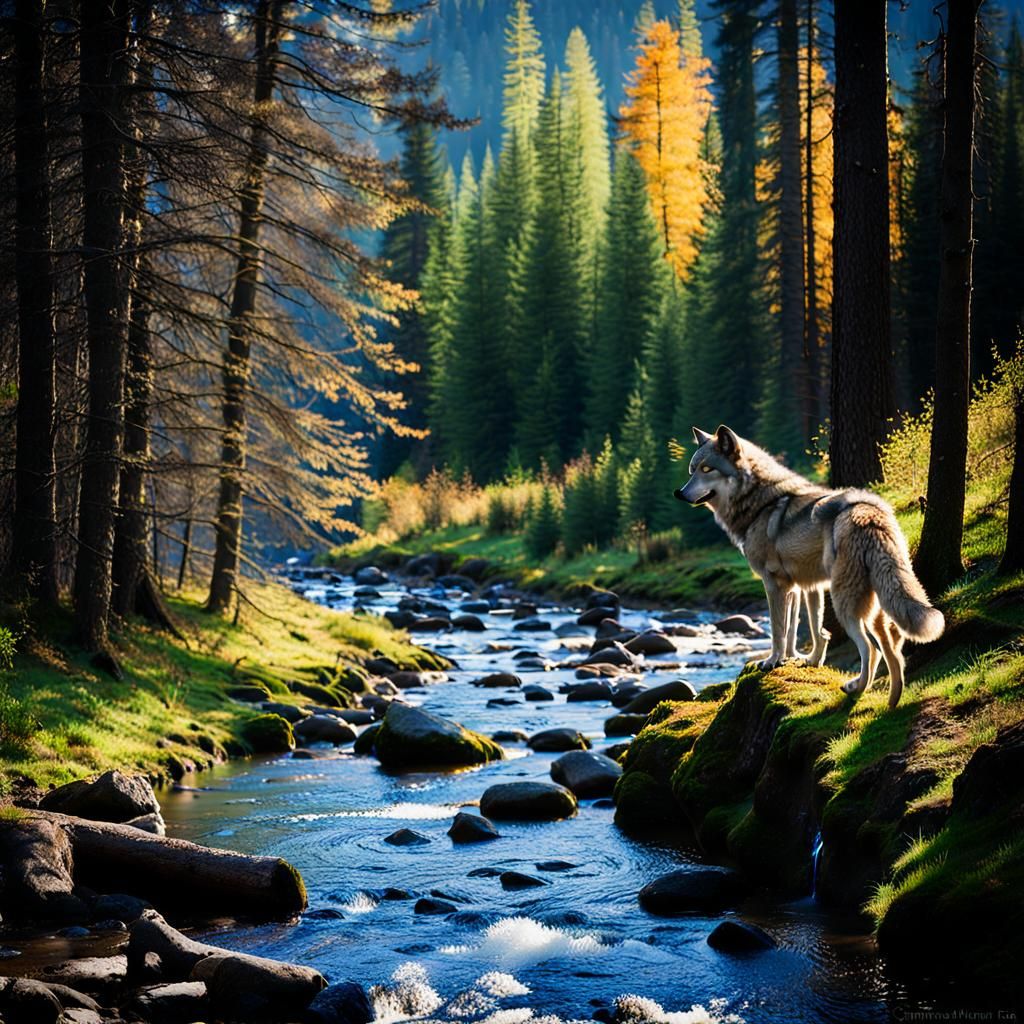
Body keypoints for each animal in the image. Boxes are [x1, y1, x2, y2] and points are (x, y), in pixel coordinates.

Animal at [675, 425, 945, 708]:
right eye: (692, 470)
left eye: (707, 469)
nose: (679, 493)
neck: (758, 505)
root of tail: (870, 513)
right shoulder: (802, 587)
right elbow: (810, 630)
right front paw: (802, 660)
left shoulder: (774, 585)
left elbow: (779, 630)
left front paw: (772, 661)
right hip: (874, 610)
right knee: (892, 650)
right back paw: (891, 703)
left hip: (845, 604)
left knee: (870, 650)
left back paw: (855, 688)